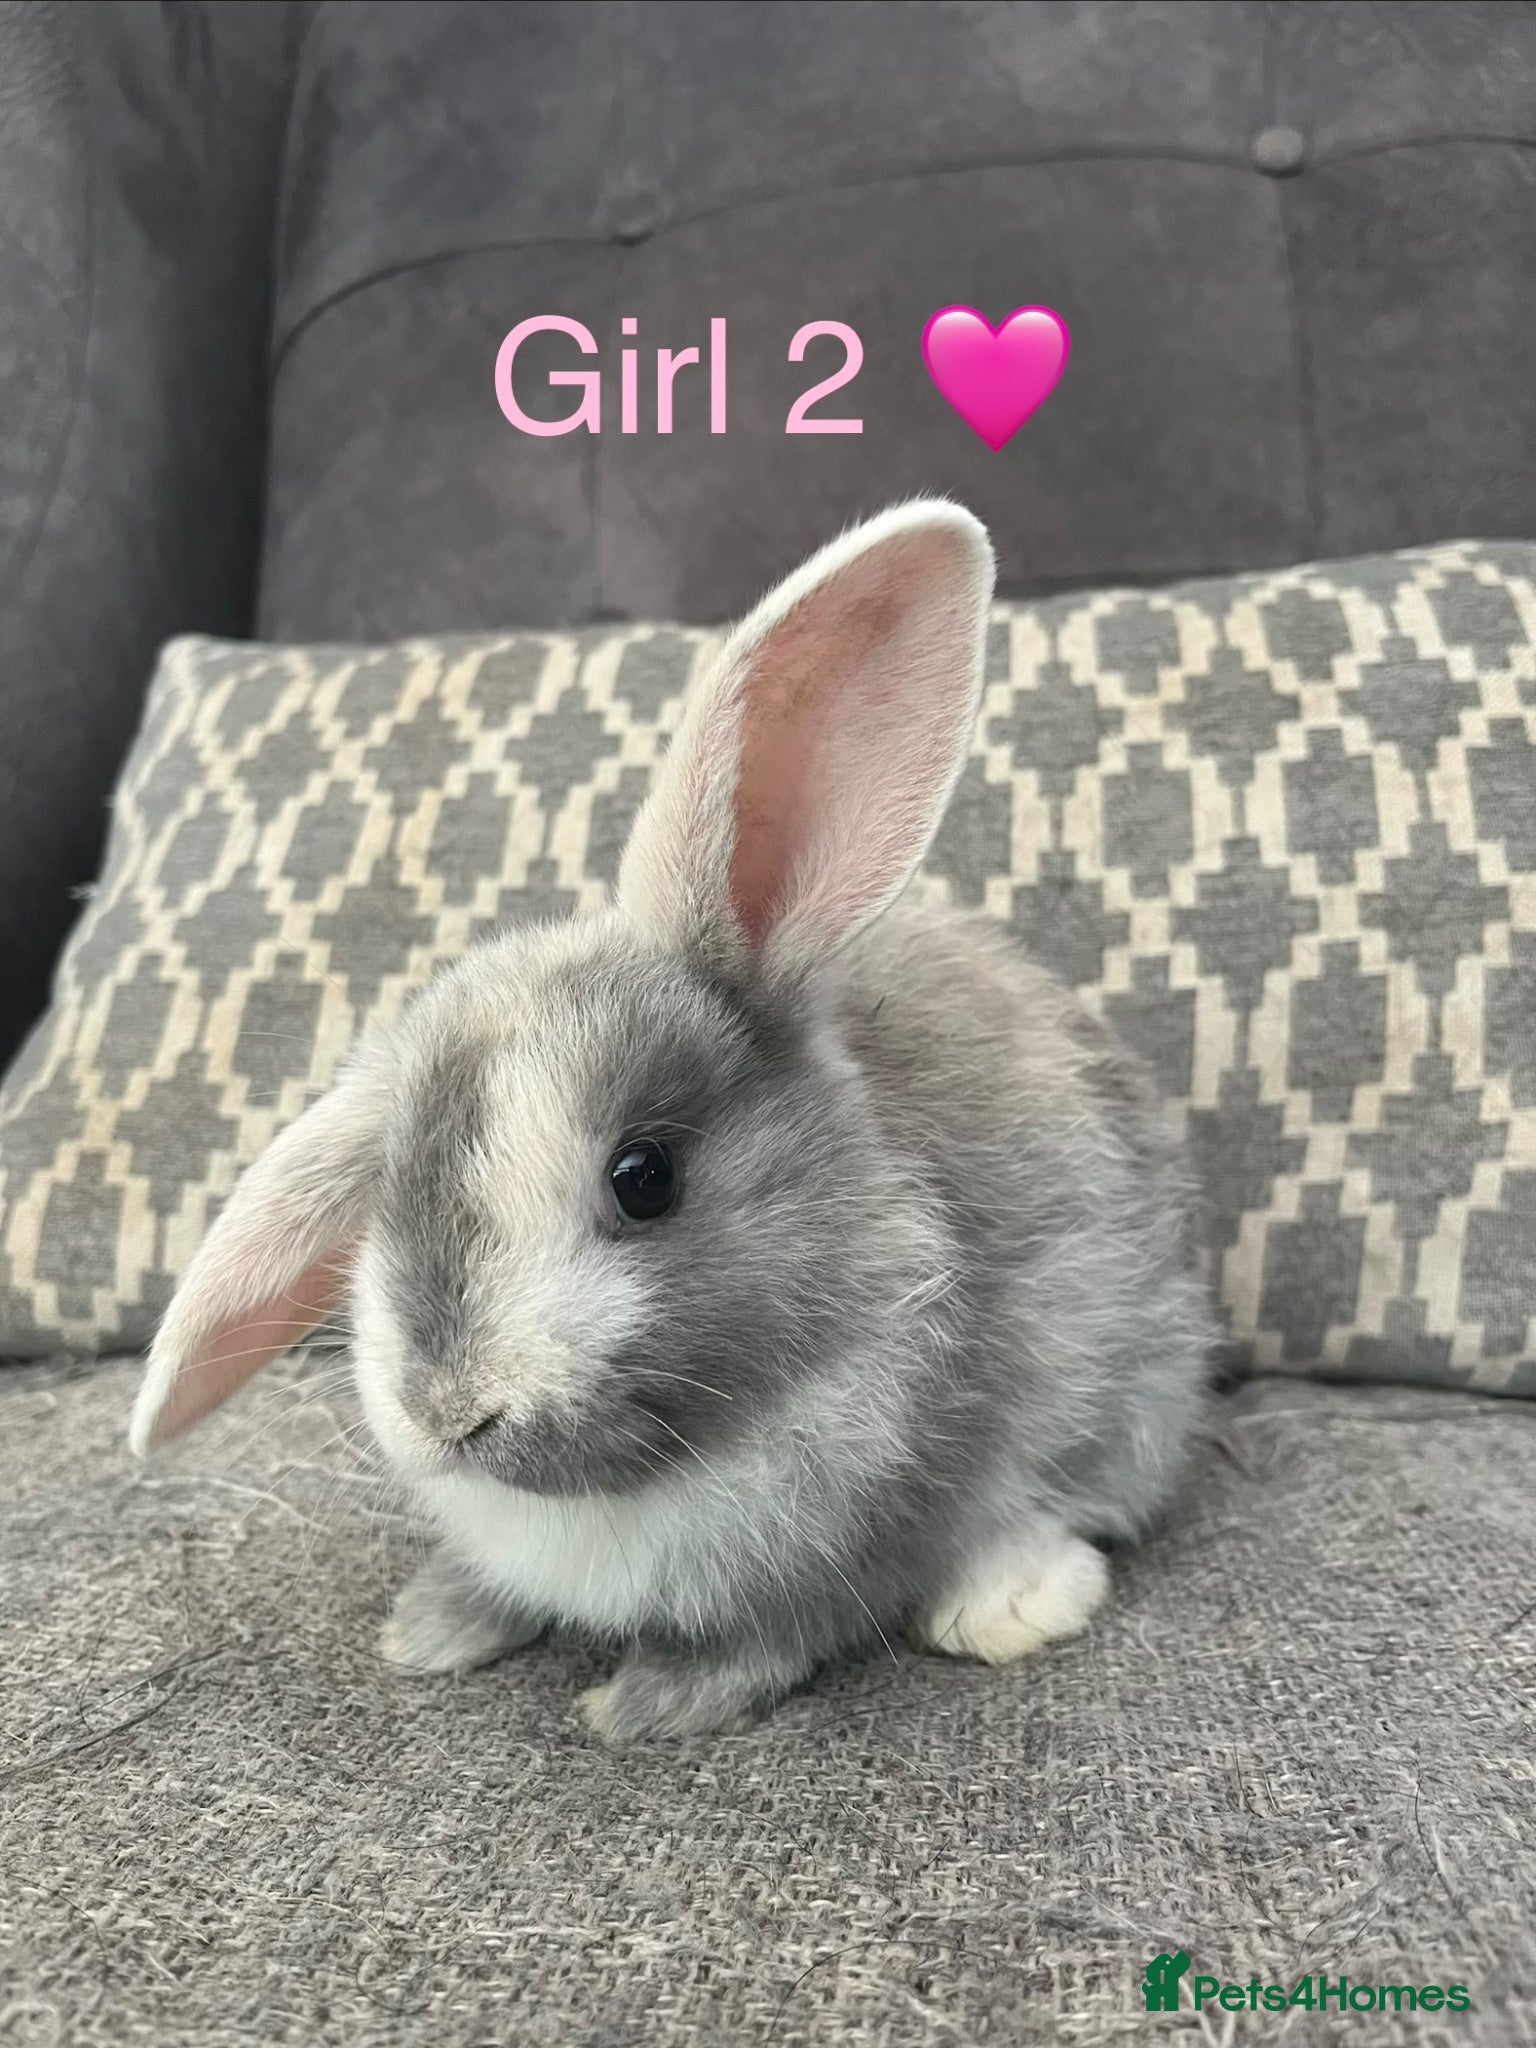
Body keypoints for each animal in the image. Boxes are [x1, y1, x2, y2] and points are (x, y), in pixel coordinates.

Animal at [130, 500, 1214, 1743]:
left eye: (643, 1176)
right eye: (382, 1206)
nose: (448, 1412)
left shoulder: (852, 1528)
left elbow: (774, 1634)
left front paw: (644, 1702)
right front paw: (434, 1624)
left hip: (1130, 1385)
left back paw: (1010, 1598)